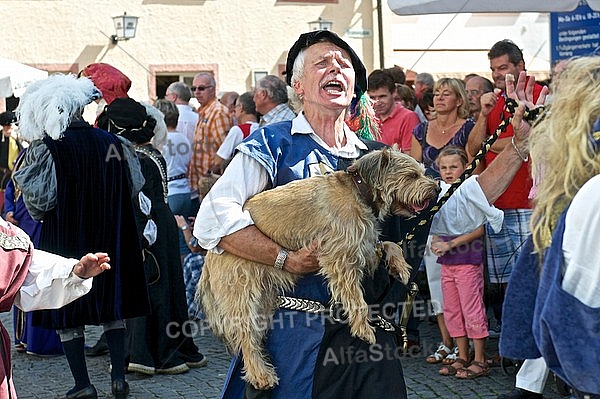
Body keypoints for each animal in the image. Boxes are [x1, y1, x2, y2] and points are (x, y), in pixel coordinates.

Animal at [199, 148, 438, 390]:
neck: (358, 190)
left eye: (422, 172)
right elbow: (357, 300)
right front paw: (363, 329)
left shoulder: (360, 247)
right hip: (243, 296)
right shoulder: (341, 259)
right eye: (412, 176)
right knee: (246, 338)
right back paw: (261, 375)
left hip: (262, 300)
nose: (436, 188)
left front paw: (400, 266)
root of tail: (210, 252)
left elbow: (388, 245)